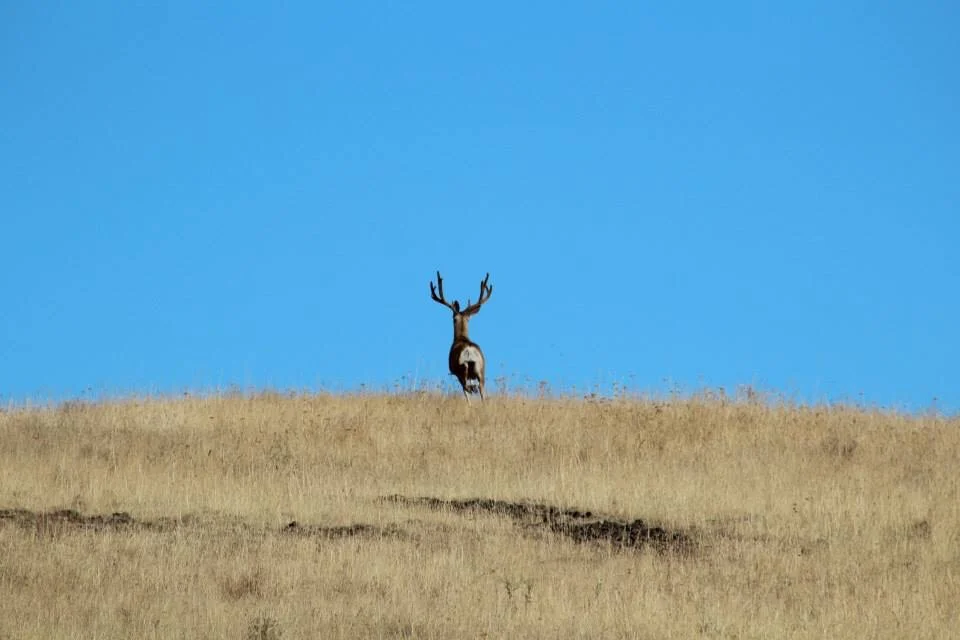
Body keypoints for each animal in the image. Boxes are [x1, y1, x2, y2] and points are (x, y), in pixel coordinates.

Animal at [429, 271, 493, 401]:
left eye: (453, 318)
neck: (462, 338)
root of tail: (469, 350)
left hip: (462, 370)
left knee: (467, 390)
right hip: (481, 370)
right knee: (481, 392)